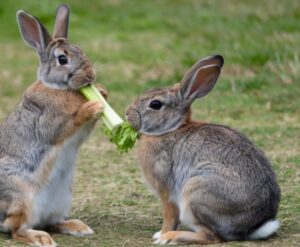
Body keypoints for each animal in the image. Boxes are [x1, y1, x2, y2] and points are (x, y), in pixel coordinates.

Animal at [0, 4, 107, 247]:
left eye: (81, 50)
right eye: (62, 59)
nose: (90, 75)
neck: (58, 88)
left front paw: (102, 92)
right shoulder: (48, 122)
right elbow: (68, 123)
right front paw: (93, 105)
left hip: (62, 197)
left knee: (51, 221)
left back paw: (78, 227)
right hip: (22, 197)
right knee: (15, 229)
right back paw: (40, 238)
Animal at [126, 54, 282, 245]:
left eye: (155, 104)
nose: (127, 113)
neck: (170, 129)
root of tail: (253, 226)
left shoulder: (166, 189)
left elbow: (170, 216)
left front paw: (161, 236)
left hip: (196, 193)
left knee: (212, 236)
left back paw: (172, 237)